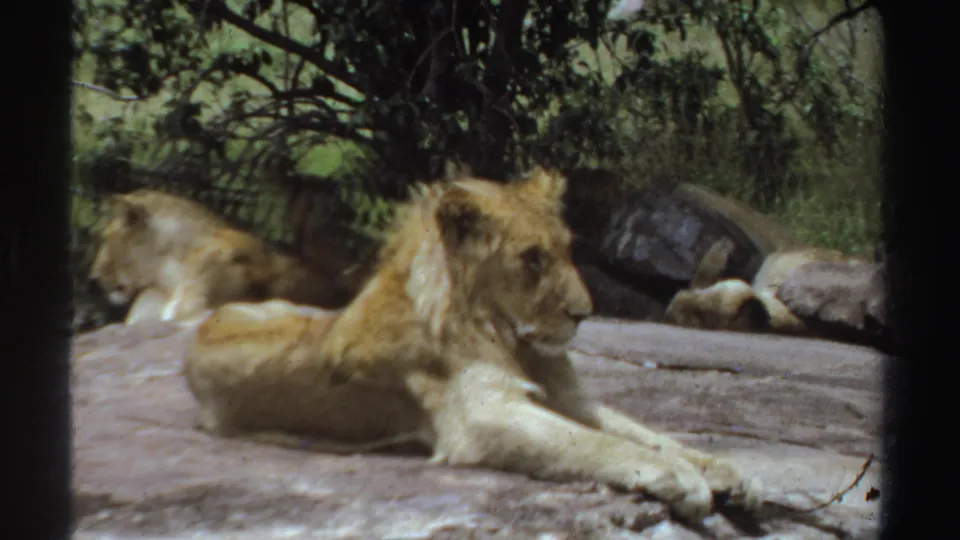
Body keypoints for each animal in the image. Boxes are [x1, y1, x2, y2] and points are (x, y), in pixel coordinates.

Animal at [182, 167, 763, 522]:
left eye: (566, 250)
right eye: (531, 258)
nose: (584, 313)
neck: (511, 338)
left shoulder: (566, 397)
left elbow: (643, 433)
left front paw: (722, 470)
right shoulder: (482, 415)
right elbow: (596, 444)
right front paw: (682, 480)